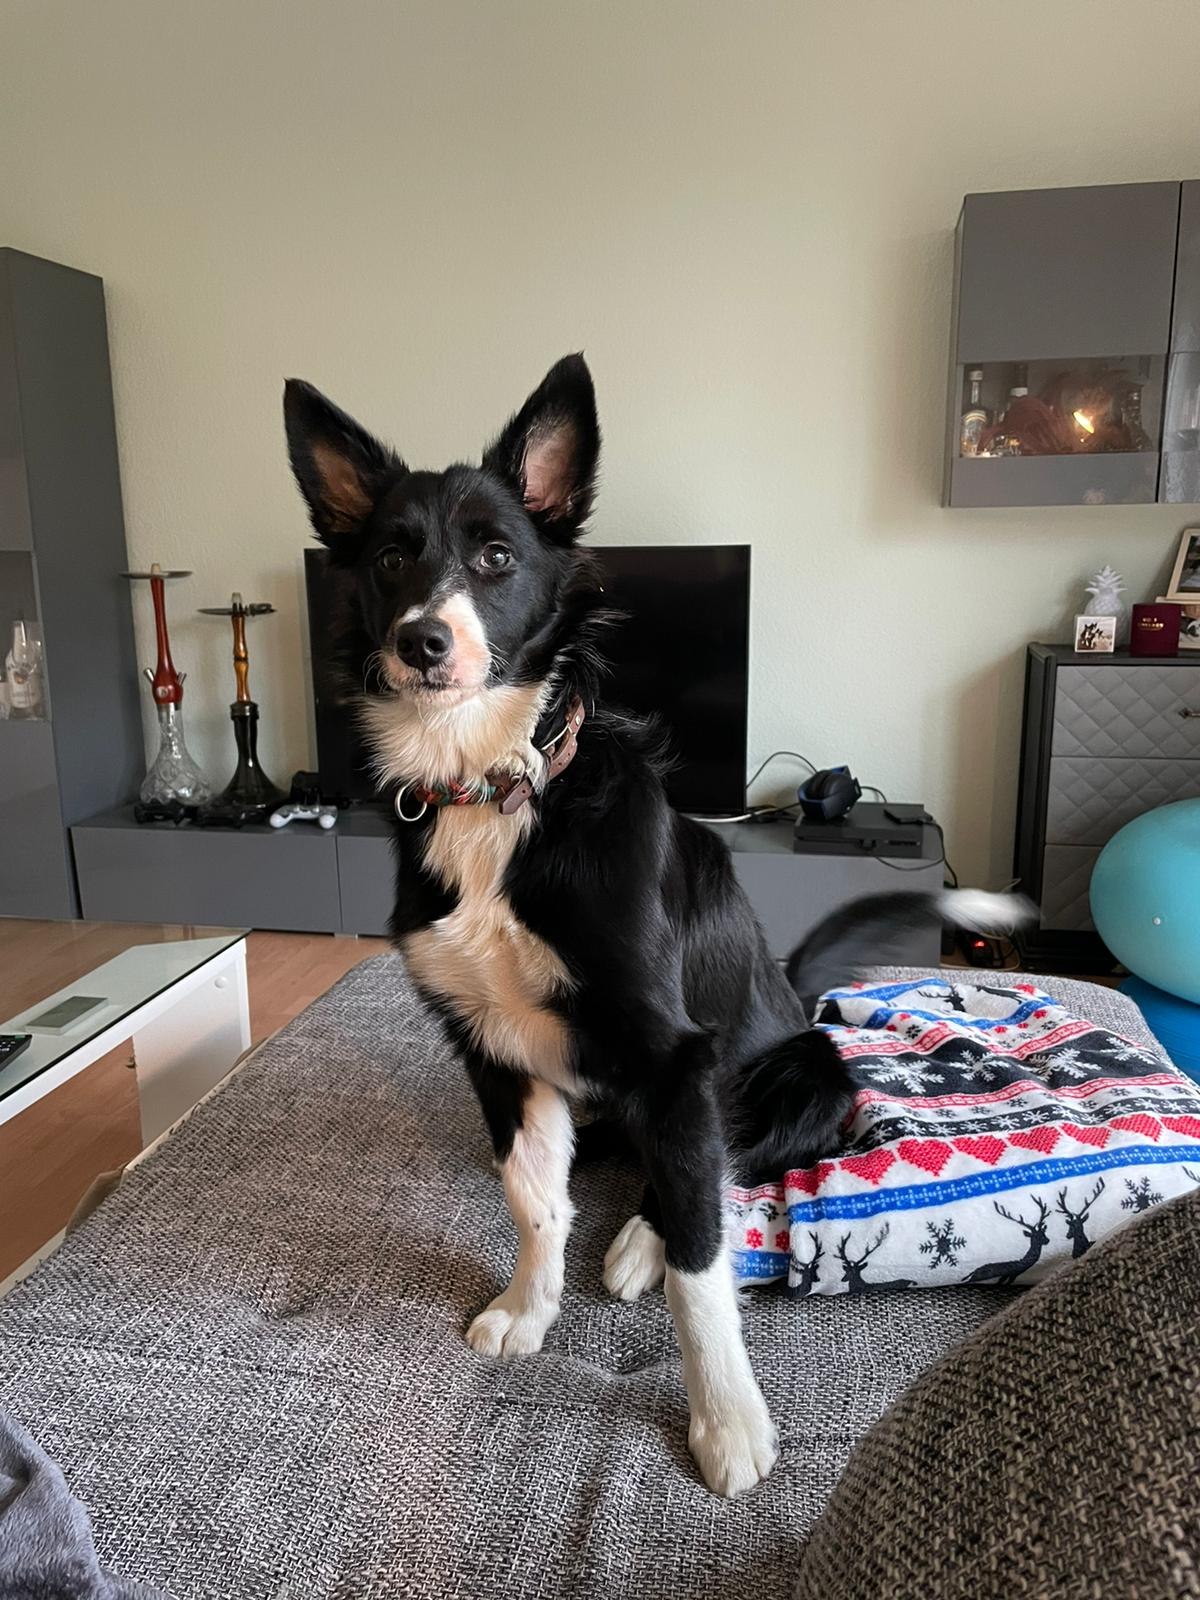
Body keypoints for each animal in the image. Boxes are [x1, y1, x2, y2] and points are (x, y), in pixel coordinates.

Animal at [284, 355, 1025, 1496]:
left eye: (496, 555)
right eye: (391, 557)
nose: (422, 641)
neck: (495, 790)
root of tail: (796, 987)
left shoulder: (672, 1053)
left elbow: (700, 1264)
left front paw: (726, 1420)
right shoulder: (494, 1048)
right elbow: (532, 1199)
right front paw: (528, 1307)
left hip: (806, 1075)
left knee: (720, 1168)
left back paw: (641, 1238)